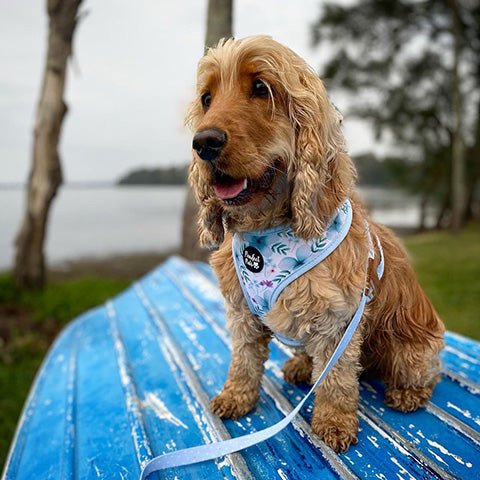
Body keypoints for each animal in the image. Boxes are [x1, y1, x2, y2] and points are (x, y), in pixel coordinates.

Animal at [186, 37, 444, 454]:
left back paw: (406, 394)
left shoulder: (338, 320)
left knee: (423, 375)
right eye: (207, 98)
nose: (203, 142)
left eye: (261, 88)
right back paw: (300, 366)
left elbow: (336, 379)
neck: (268, 230)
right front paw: (236, 397)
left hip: (411, 352)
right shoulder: (242, 313)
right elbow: (243, 361)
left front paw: (334, 423)